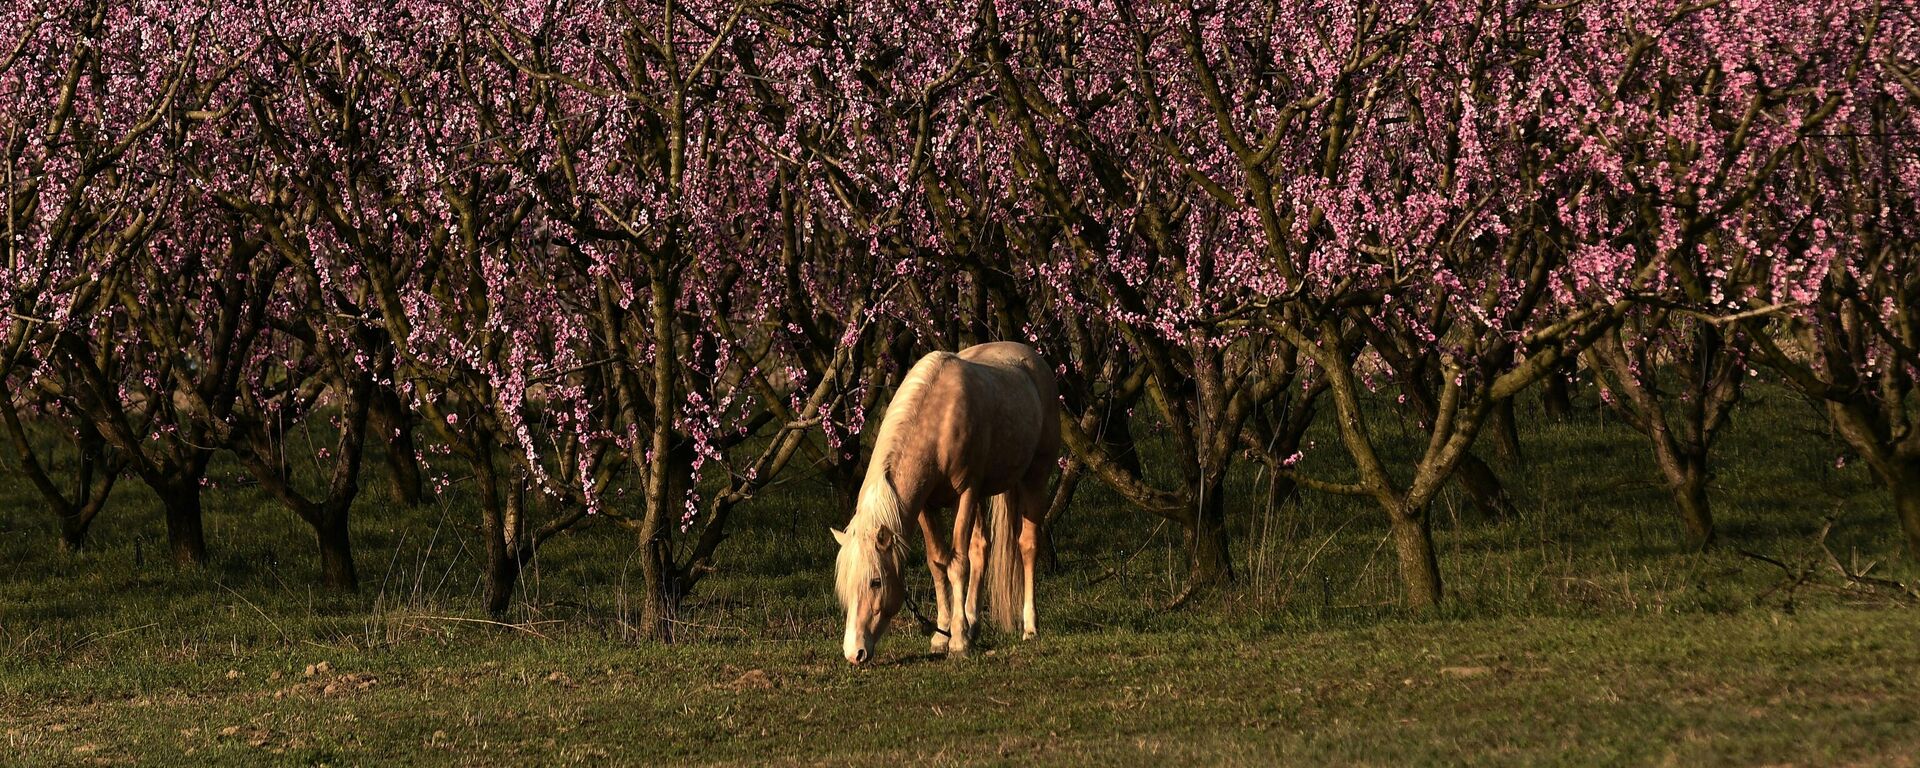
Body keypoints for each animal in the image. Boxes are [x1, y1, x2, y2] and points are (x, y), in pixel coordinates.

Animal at [829, 339, 1059, 664]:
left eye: (875, 582)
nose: (854, 652)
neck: (937, 421)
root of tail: (1033, 361)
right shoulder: (925, 506)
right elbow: (938, 563)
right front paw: (942, 636)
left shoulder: (966, 493)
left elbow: (958, 564)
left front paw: (958, 641)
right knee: (981, 548)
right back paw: (973, 623)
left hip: (1034, 478)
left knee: (1027, 546)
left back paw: (1029, 627)